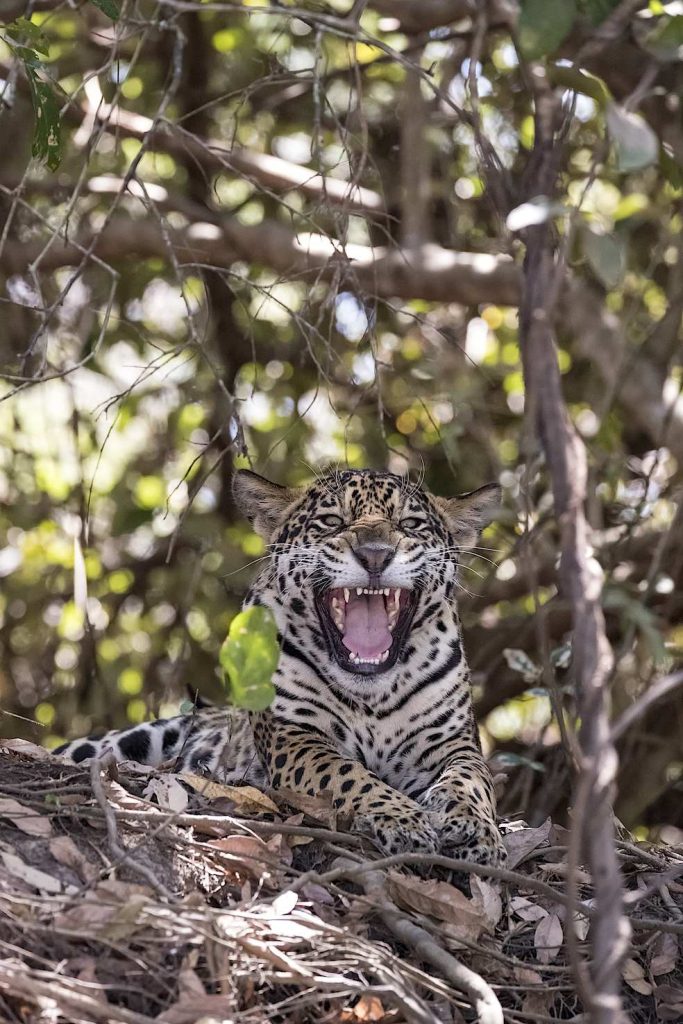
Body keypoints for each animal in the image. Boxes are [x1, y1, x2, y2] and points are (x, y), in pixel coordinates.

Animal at [54, 468, 506, 865]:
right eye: (332, 521)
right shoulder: (296, 737)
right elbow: (346, 774)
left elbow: (471, 779)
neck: (372, 693)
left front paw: (476, 830)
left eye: (410, 524)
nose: (375, 555)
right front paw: (403, 820)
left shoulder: (452, 742)